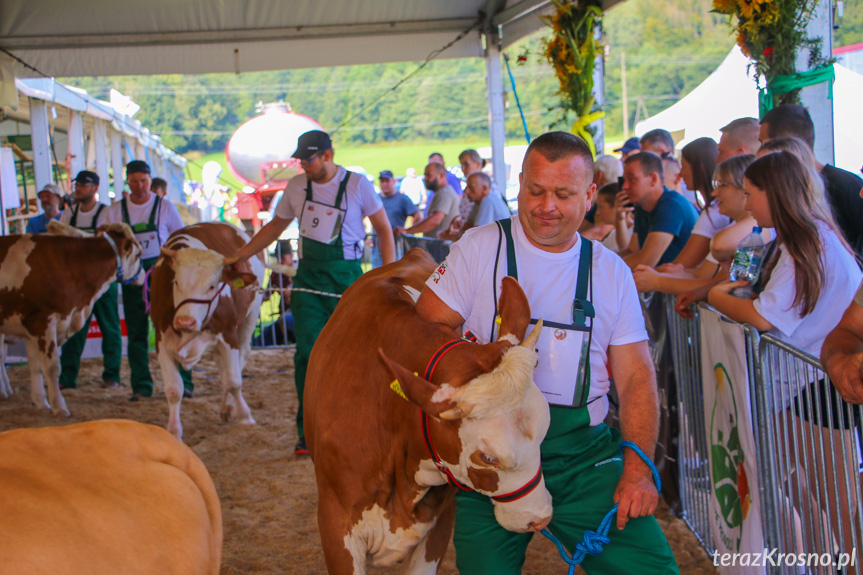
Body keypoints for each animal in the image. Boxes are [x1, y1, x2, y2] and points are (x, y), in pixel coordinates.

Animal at [0, 223, 143, 416]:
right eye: (138, 254)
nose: (143, 277)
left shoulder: (30, 326)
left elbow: (35, 367)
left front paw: (40, 402)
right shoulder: (43, 322)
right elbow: (52, 368)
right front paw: (59, 407)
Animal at [149, 223, 264, 438]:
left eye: (212, 286)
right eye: (176, 282)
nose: (185, 322)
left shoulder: (228, 335)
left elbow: (234, 381)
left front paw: (246, 417)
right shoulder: (161, 342)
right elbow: (174, 390)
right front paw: (174, 431)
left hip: (250, 317)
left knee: (241, 358)